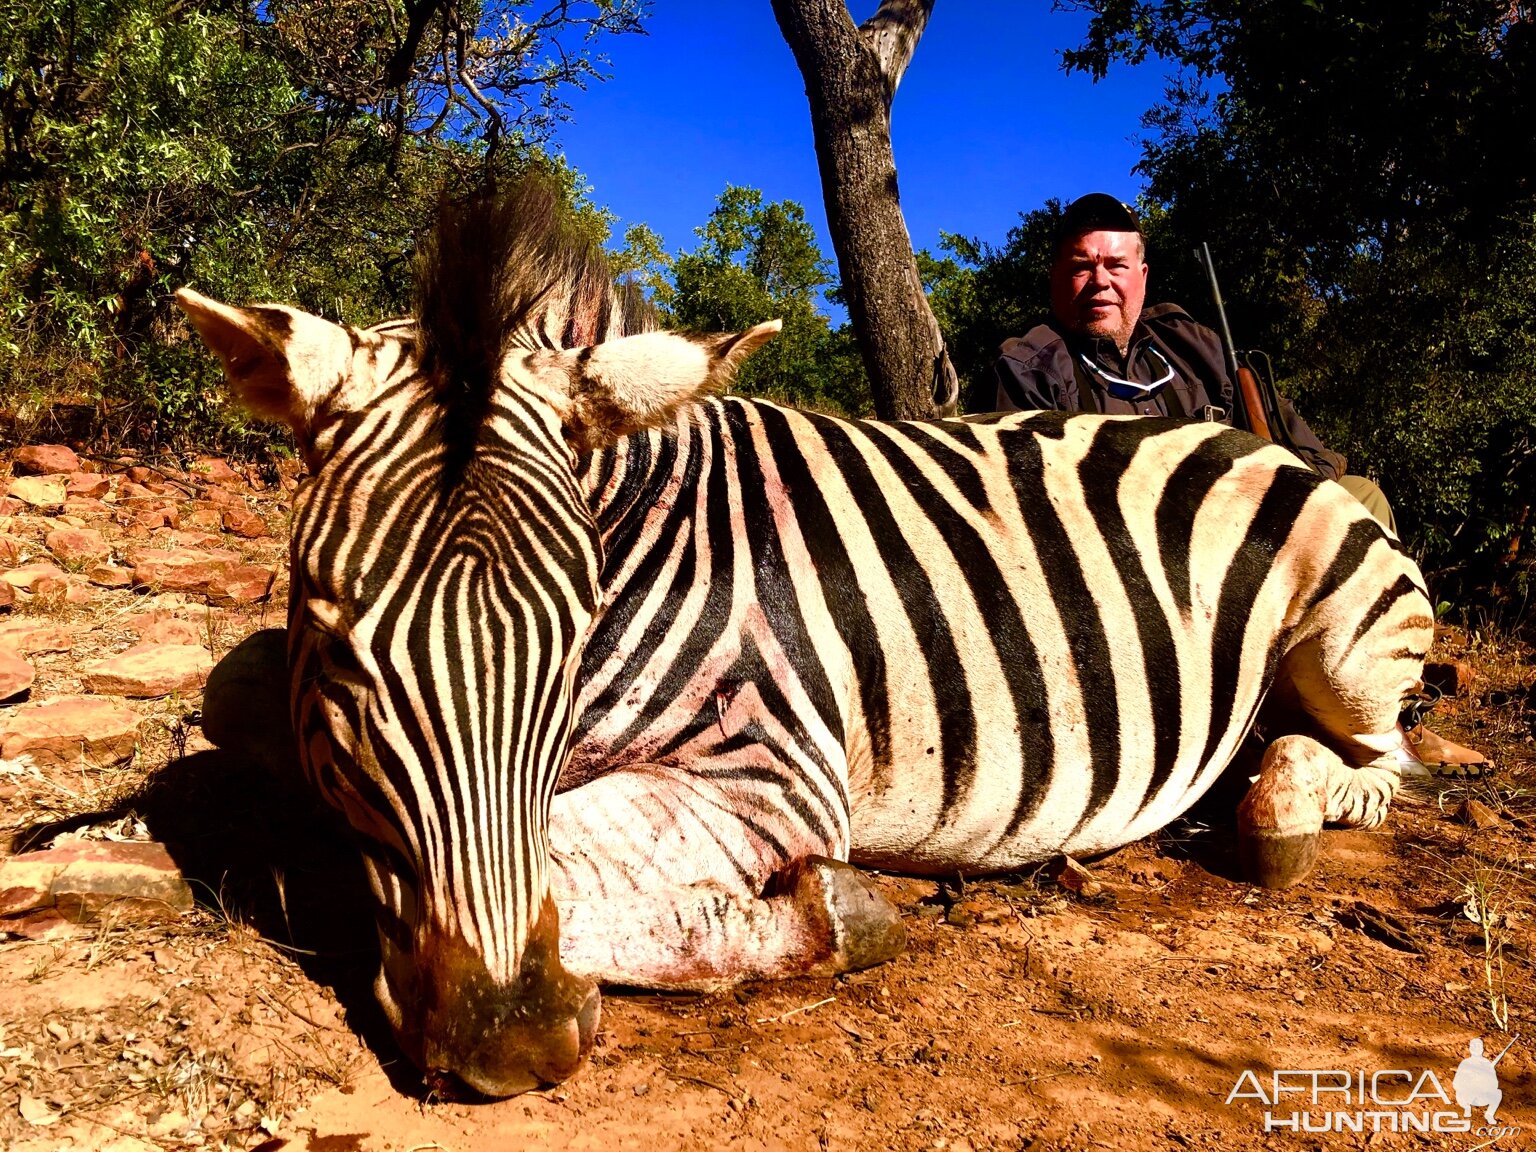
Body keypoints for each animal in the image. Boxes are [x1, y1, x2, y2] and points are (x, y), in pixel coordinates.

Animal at [174, 180, 1431, 1099]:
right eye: (335, 638)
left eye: (577, 633)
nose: (511, 1043)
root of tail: (1237, 429)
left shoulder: (770, 770)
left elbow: (557, 867)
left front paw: (833, 911)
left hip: (1347, 641)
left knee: (1378, 760)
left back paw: (1280, 811)